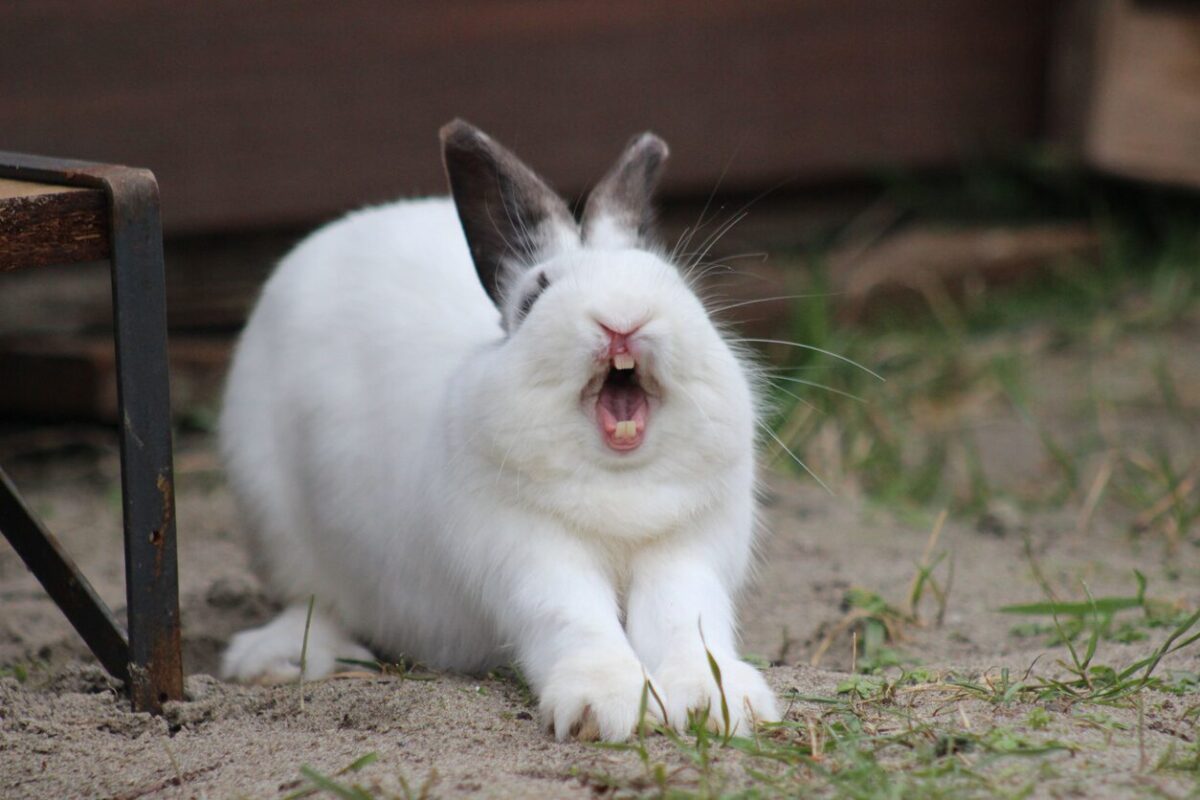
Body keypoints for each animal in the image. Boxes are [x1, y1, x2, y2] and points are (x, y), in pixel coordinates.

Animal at [217, 120, 782, 743]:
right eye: (535, 296)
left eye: (675, 284)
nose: (622, 319)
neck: (618, 483)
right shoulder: (529, 558)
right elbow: (574, 619)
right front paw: (605, 706)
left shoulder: (686, 552)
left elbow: (687, 620)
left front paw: (718, 704)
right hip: (272, 513)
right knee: (312, 600)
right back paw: (279, 659)